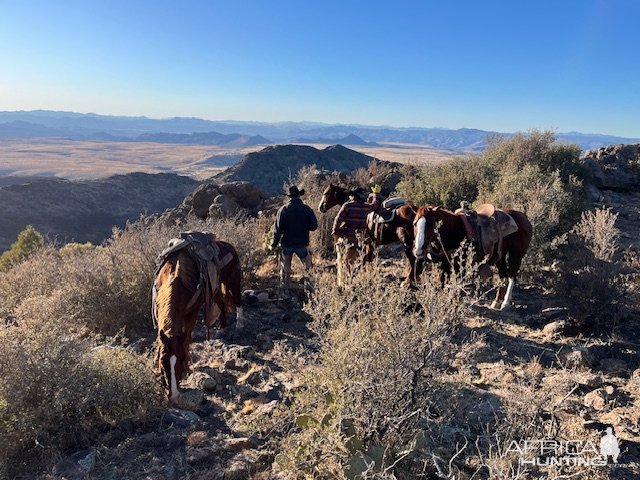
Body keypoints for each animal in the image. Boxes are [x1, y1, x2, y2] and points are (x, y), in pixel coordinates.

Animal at [154, 240, 244, 402]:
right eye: (162, 361)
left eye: (181, 359)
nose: (173, 395)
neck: (176, 276)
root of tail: (228, 245)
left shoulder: (192, 313)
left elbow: (187, 339)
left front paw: (187, 369)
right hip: (214, 288)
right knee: (221, 302)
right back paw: (222, 328)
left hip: (232, 281)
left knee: (238, 300)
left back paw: (239, 326)